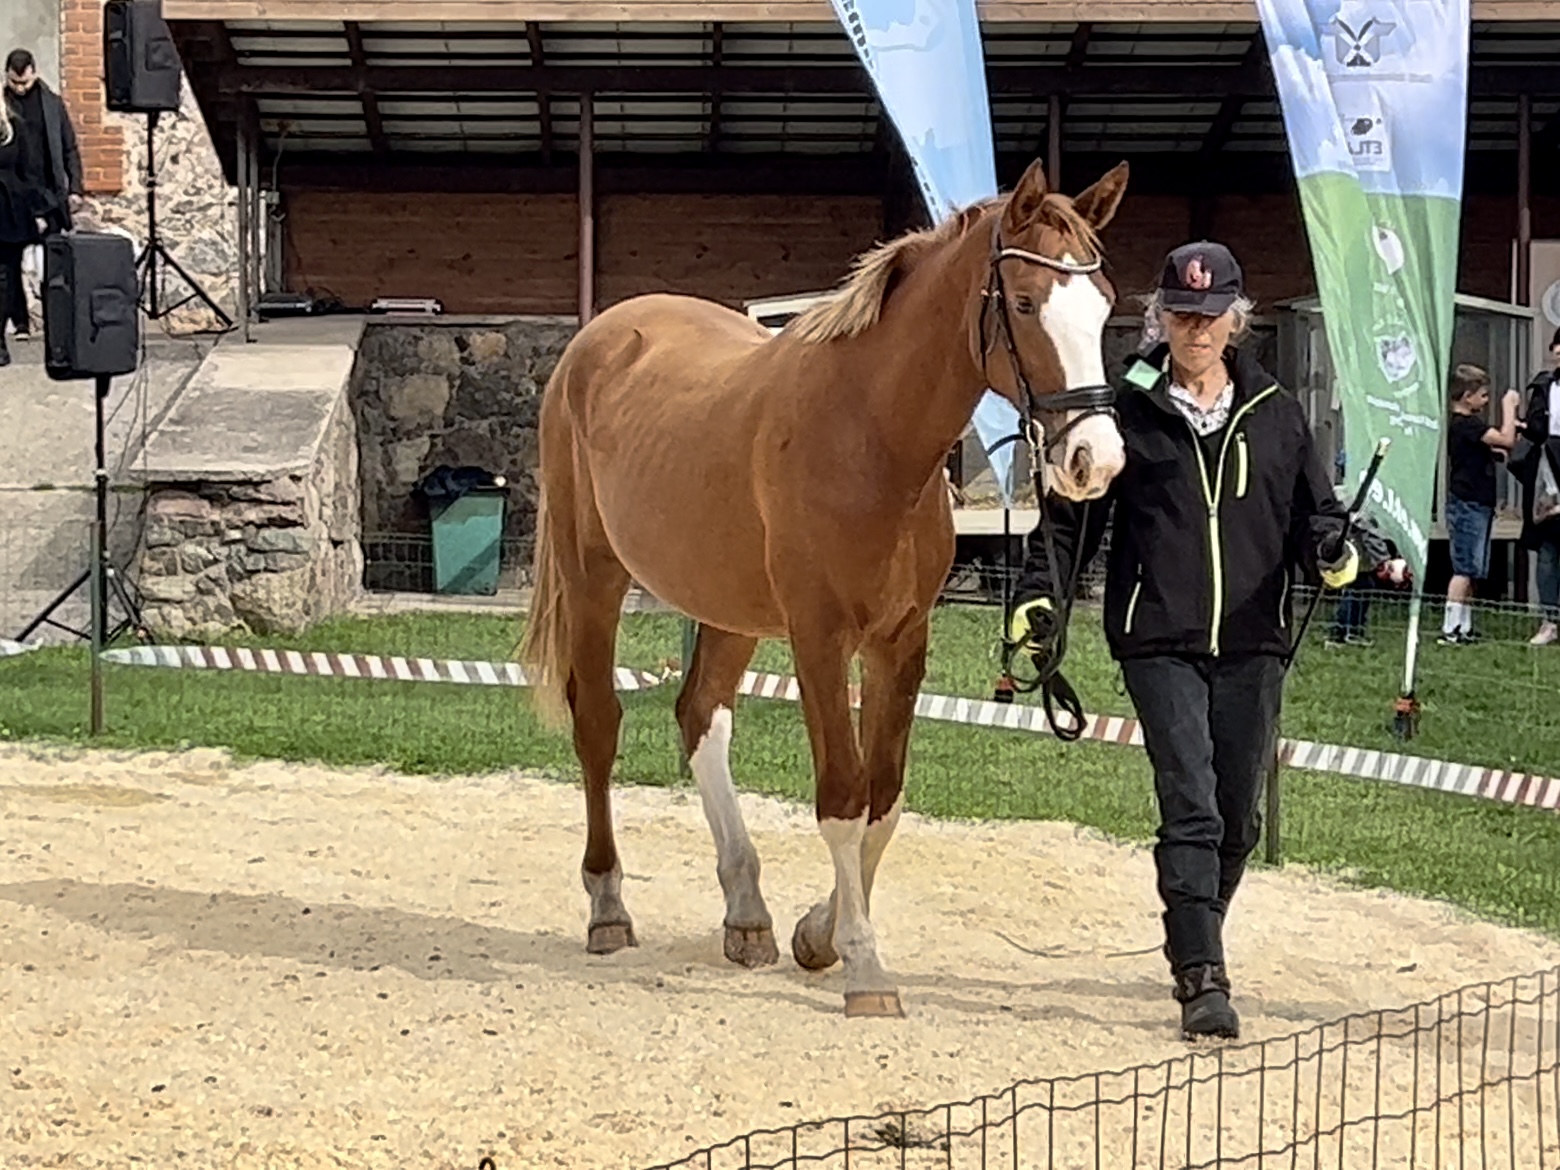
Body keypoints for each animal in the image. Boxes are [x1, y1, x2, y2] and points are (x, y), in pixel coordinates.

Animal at [517, 156, 1129, 1017]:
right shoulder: (819, 640)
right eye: (1024, 302)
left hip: (729, 607)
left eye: (1103, 304)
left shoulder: (901, 645)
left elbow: (886, 799)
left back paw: (747, 915)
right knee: (599, 723)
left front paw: (818, 934)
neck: (870, 436)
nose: (1094, 460)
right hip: (594, 578)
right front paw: (864, 968)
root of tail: (601, 338)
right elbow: (843, 798)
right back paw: (608, 907)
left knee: (700, 716)